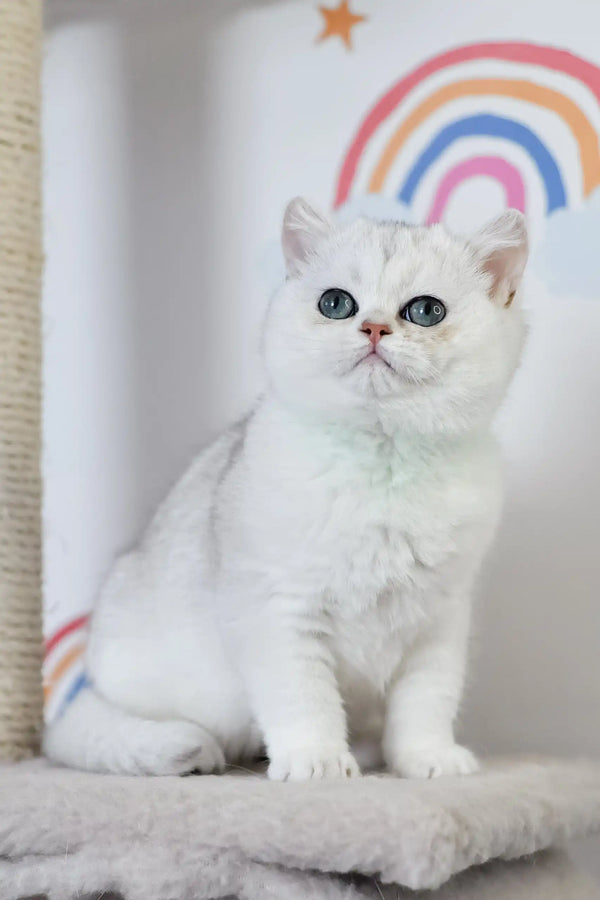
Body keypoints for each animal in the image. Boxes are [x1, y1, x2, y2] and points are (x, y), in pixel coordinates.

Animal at [44, 199, 528, 780]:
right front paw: (317, 761)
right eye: (336, 303)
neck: (382, 462)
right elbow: (304, 697)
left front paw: (425, 758)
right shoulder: (277, 609)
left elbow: (426, 702)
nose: (373, 328)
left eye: (426, 311)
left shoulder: (440, 620)